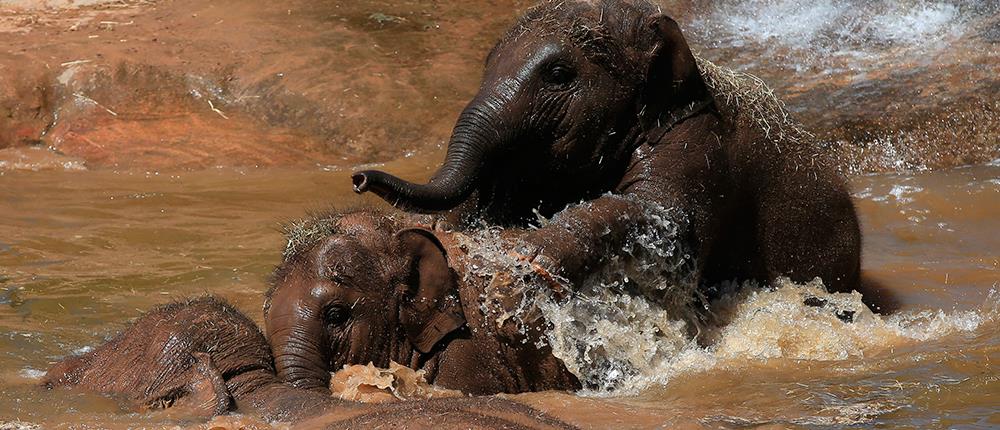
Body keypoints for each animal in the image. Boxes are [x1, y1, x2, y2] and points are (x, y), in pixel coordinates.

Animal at [350, 0, 892, 310]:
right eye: (486, 62)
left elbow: (666, 224)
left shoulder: (700, 143)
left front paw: (531, 260)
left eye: (559, 74)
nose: (358, 177)